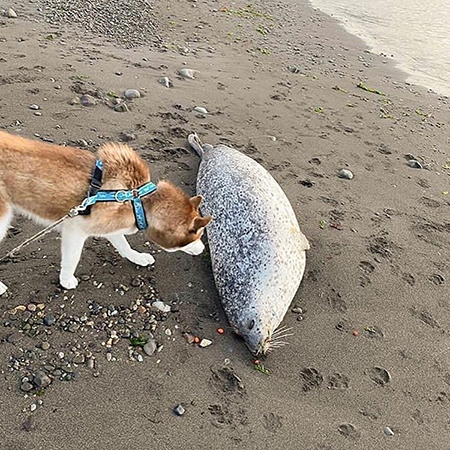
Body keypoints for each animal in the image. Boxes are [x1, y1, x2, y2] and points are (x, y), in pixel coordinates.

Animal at [0, 129, 212, 296]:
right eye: (196, 236)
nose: (203, 250)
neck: (138, 199)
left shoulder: (111, 225)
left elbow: (124, 245)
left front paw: (137, 257)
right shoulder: (75, 229)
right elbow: (72, 258)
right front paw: (66, 279)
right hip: (2, 218)